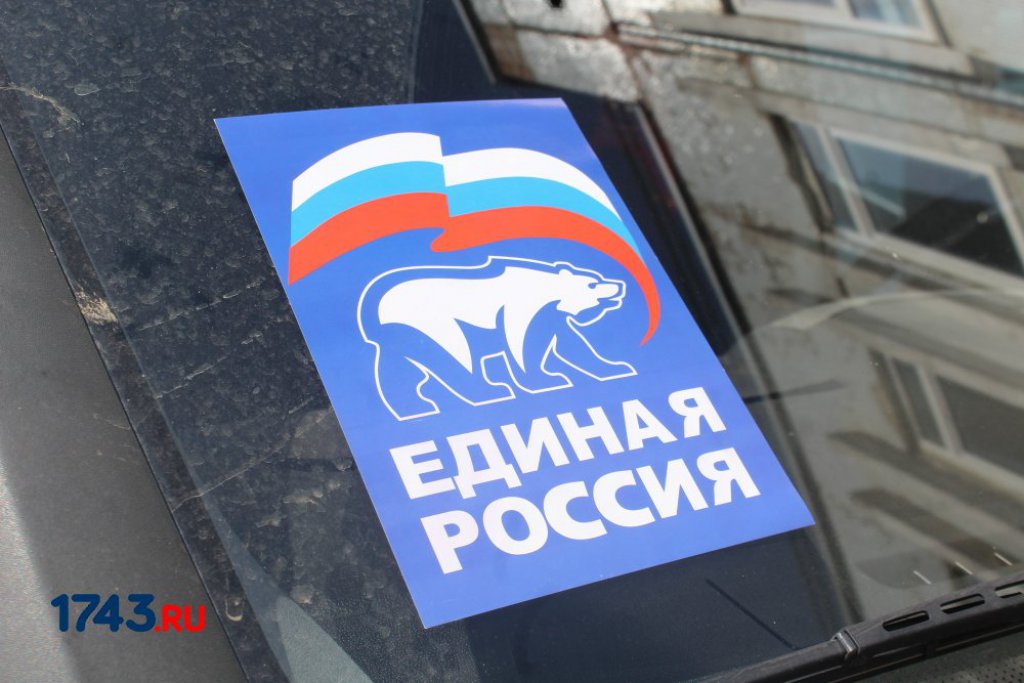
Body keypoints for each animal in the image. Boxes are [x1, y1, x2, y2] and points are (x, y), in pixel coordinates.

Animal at [357, 256, 637, 420]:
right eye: (593, 283)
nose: (619, 285)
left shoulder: (553, 317)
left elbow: (575, 345)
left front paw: (615, 367)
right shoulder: (521, 307)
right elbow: (523, 345)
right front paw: (546, 380)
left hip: (398, 340)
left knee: (400, 373)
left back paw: (416, 407)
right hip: (433, 324)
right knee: (457, 358)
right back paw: (490, 391)